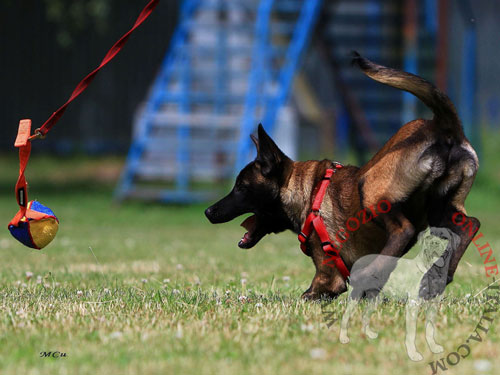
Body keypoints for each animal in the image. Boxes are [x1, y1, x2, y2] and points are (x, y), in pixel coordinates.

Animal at [204, 52, 480, 300]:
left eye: (241, 187)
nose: (208, 211)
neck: (308, 191)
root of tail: (442, 126)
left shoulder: (327, 278)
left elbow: (308, 293)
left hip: (370, 188)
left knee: (404, 229)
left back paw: (375, 273)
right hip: (440, 207)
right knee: (469, 226)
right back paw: (434, 280)